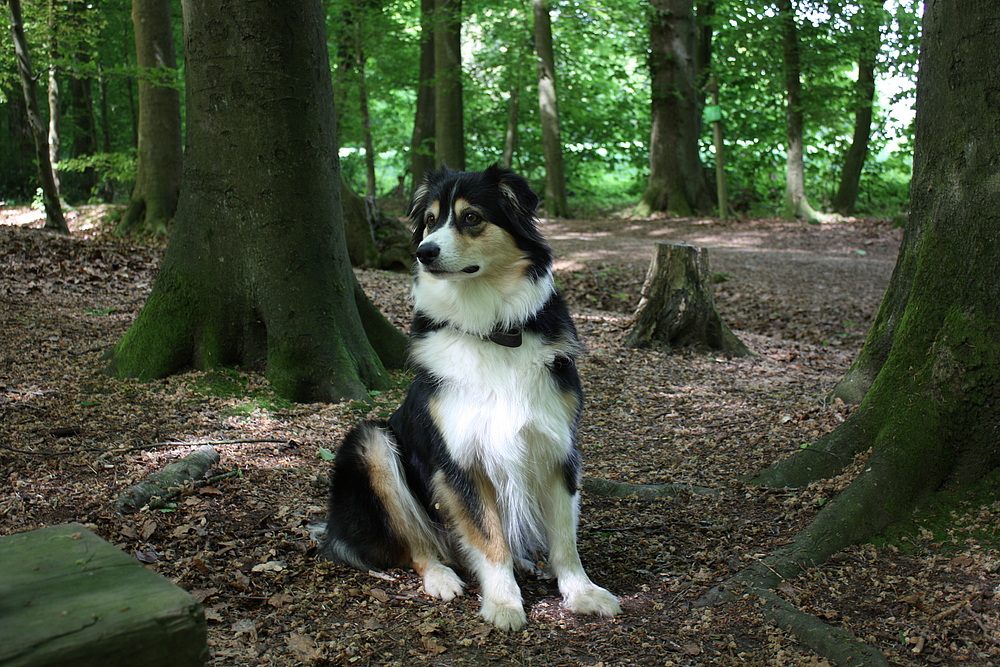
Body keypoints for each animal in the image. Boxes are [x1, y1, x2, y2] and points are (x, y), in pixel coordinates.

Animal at [312, 164, 620, 628]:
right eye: (431, 220)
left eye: (471, 217)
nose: (424, 252)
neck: (491, 329)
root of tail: (335, 528)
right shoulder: (461, 458)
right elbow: (488, 538)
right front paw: (503, 603)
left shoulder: (557, 446)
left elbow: (565, 535)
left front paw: (582, 592)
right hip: (371, 442)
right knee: (418, 547)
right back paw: (442, 577)